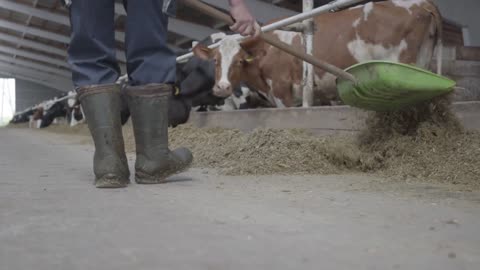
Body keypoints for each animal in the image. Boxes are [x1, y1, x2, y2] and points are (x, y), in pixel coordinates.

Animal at [191, 0, 442, 107]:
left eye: (240, 61)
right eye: (216, 61)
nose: (221, 87)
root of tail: (421, 3)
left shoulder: (282, 92)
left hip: (402, 66)